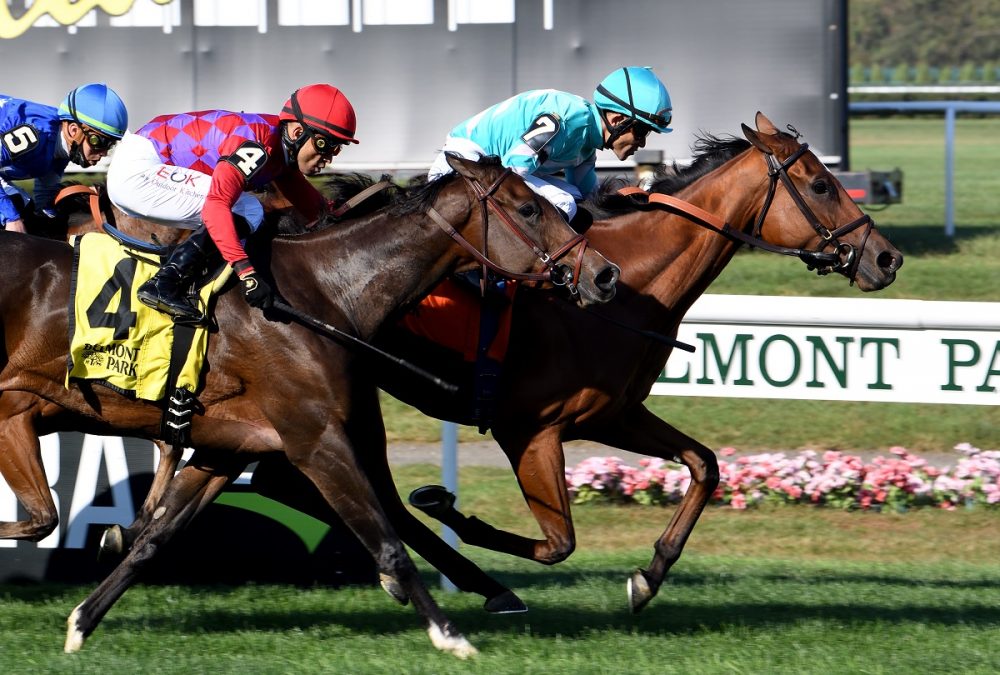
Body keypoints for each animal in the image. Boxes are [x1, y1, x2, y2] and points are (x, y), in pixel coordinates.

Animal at [0, 154, 620, 660]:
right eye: (528, 208)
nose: (604, 274)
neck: (325, 293)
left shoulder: (230, 447)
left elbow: (154, 540)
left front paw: (81, 622)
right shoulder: (317, 442)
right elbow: (388, 542)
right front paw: (451, 636)